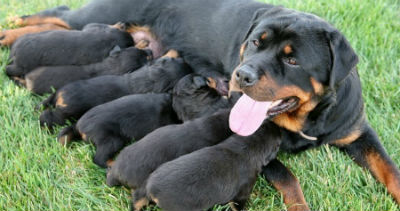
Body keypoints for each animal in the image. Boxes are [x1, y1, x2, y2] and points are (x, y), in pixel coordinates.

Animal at [38, 50, 191, 129]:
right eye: (149, 56)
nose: (151, 50)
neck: (149, 79)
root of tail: (60, 95)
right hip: (65, 114)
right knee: (50, 116)